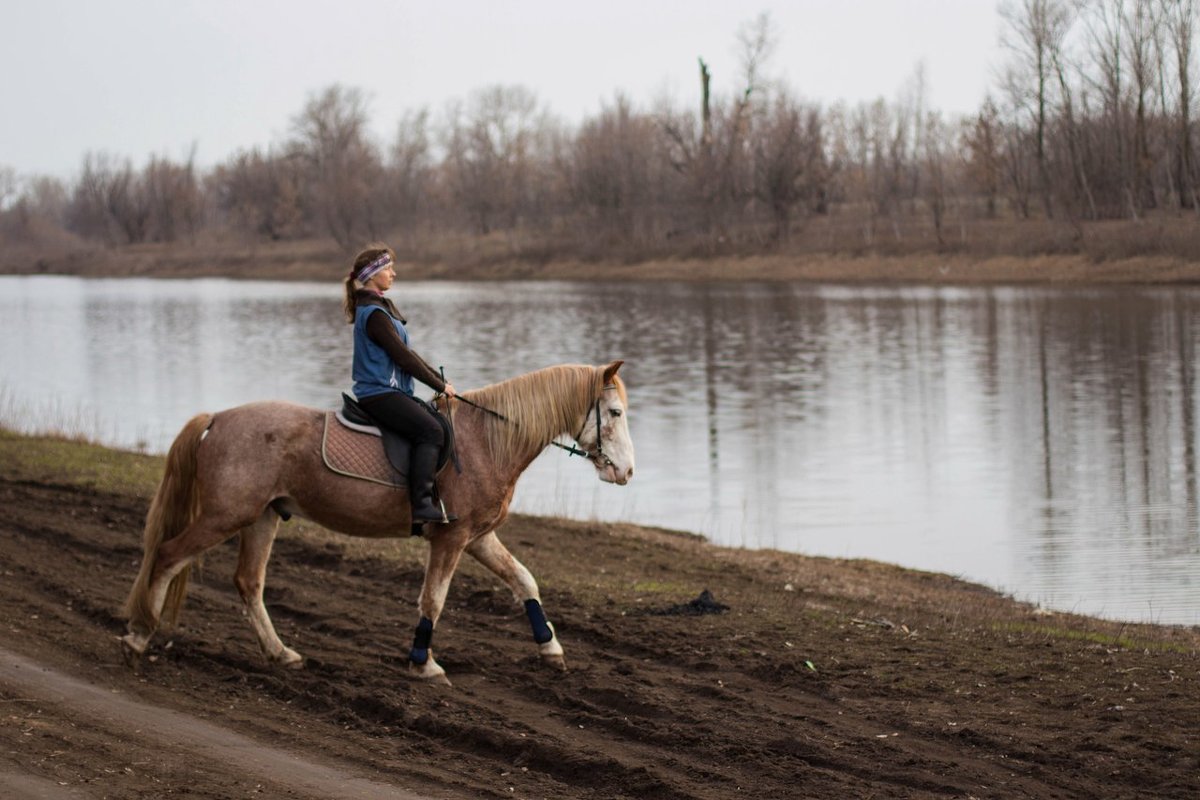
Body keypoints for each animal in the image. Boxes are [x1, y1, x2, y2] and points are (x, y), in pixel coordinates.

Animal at [117, 362, 633, 681]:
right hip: (227, 515)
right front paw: (423, 664)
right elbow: (434, 600)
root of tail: (219, 418)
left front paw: (551, 650)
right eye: (614, 412)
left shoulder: (478, 537)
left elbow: (524, 580)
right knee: (168, 556)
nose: (626, 472)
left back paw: (280, 653)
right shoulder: (452, 539)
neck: (487, 441)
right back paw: (139, 636)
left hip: (262, 517)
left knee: (248, 583)